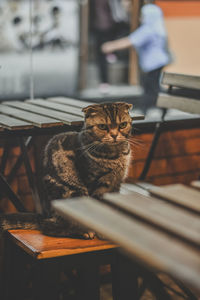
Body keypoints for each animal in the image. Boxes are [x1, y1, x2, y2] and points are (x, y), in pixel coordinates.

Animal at [1, 102, 134, 240]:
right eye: (102, 126)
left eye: (122, 125)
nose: (114, 135)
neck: (115, 155)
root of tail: (46, 215)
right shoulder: (93, 183)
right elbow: (98, 210)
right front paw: (102, 231)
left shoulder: (116, 184)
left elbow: (112, 208)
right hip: (74, 194)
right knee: (50, 227)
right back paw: (83, 231)